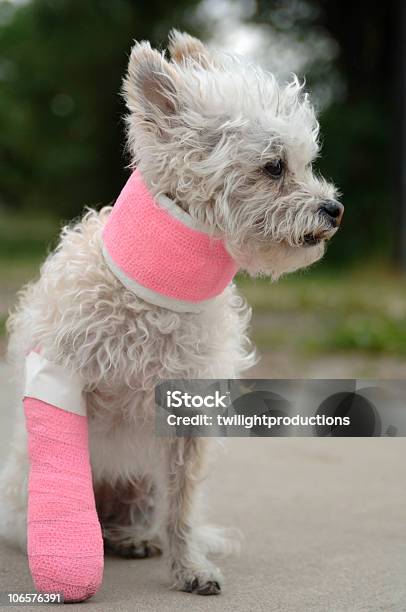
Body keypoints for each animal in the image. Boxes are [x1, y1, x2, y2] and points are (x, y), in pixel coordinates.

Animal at [0, 31, 342, 596]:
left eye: (306, 162)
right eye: (274, 167)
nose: (334, 209)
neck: (157, 298)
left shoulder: (186, 412)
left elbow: (181, 505)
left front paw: (190, 567)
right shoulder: (60, 380)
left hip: (141, 484)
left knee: (152, 512)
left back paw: (136, 536)